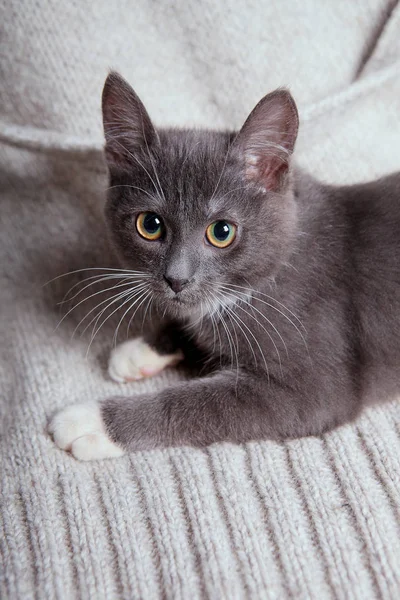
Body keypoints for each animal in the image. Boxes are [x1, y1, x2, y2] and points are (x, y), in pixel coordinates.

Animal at [49, 72, 400, 462]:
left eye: (221, 232)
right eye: (150, 225)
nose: (177, 279)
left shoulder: (313, 386)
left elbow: (202, 404)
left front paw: (94, 421)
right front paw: (143, 349)